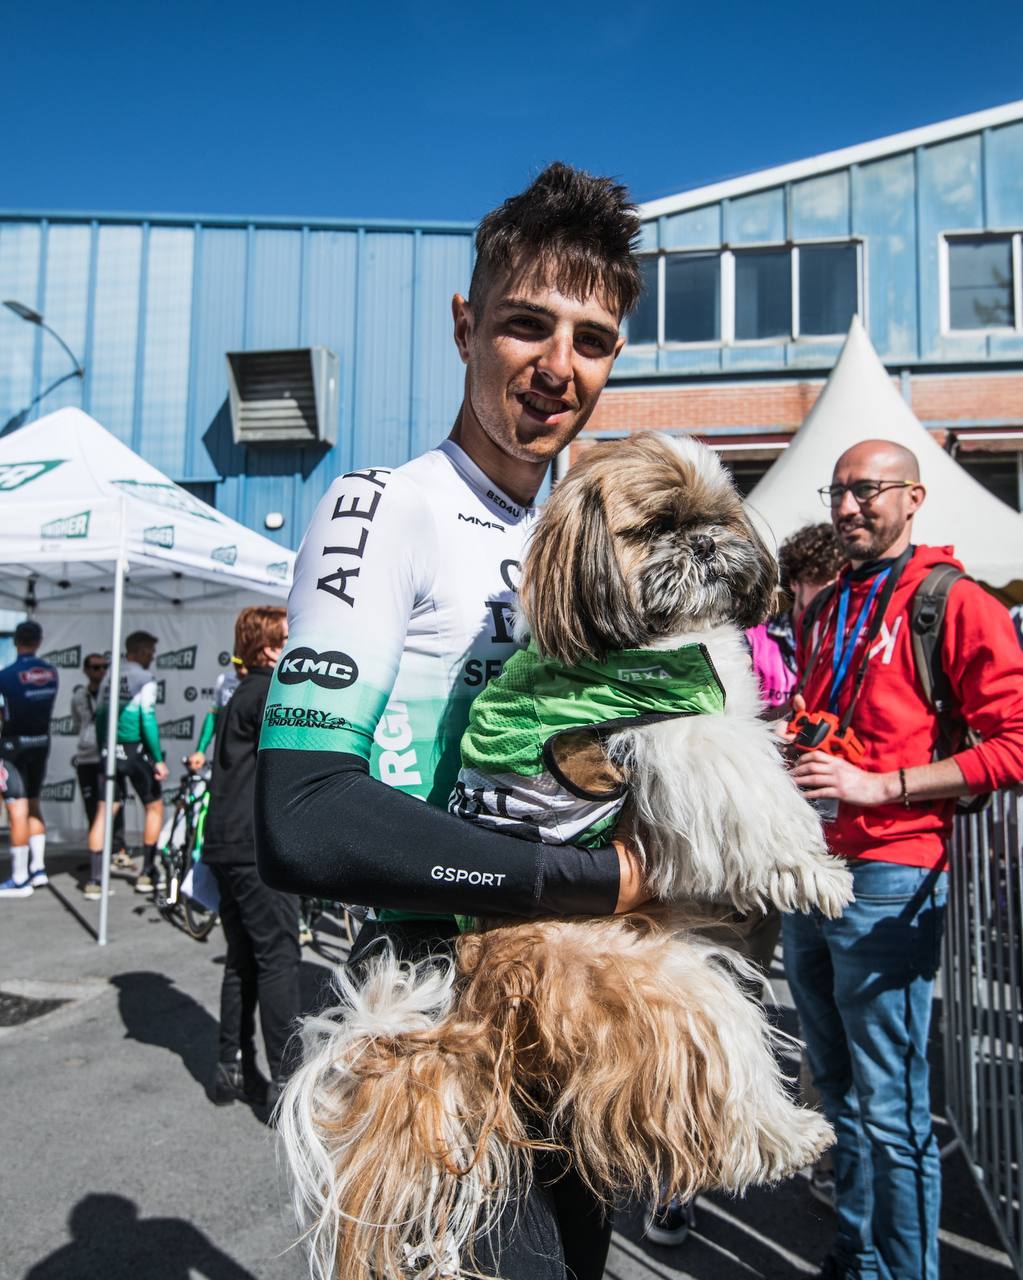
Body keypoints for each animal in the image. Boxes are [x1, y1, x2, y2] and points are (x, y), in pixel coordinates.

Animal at [276, 432, 850, 1280]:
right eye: (656, 527)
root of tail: (479, 985)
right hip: (661, 987)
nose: (706, 545)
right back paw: (787, 1137)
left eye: (714, 516)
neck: (652, 638)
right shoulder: (665, 727)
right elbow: (750, 786)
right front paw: (811, 868)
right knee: (718, 1082)